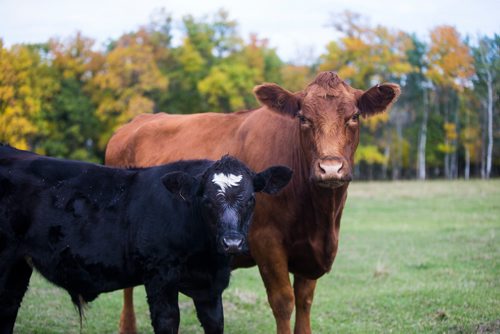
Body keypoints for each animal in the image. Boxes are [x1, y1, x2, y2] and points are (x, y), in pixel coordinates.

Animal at [0, 145, 292, 334]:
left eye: (251, 199)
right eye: (207, 200)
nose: (231, 242)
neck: (206, 259)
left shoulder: (210, 291)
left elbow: (215, 324)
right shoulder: (159, 279)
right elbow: (167, 322)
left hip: (18, 265)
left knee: (9, 305)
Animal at [105, 72, 398, 332]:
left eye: (354, 116)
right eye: (303, 118)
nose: (330, 168)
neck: (320, 218)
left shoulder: (309, 253)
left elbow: (304, 301)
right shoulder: (266, 242)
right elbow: (283, 302)